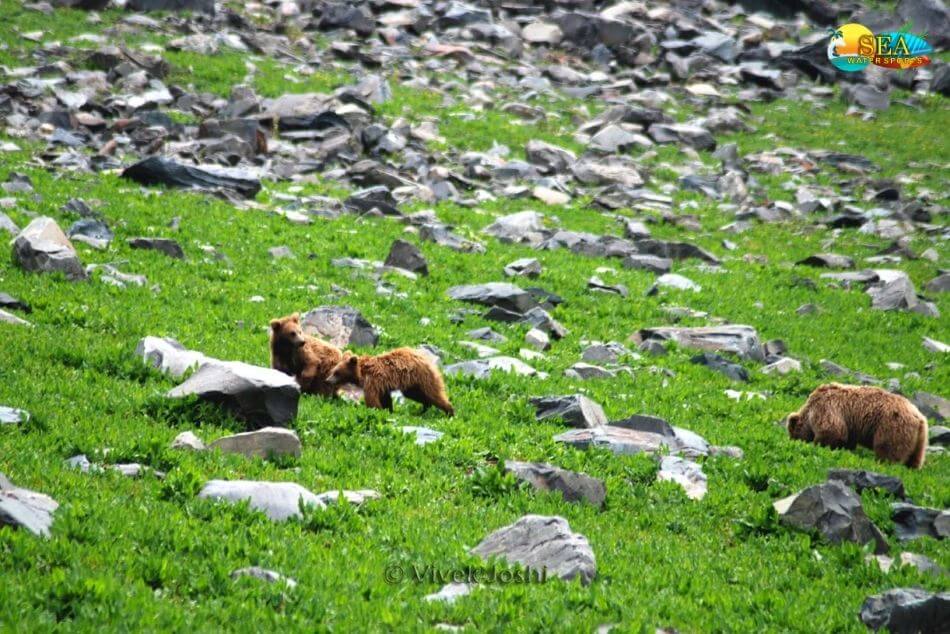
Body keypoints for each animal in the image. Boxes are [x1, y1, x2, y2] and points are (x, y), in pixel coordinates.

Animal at [326, 346, 456, 414]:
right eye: (333, 370)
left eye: (336, 372)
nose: (328, 380)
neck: (361, 373)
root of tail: (426, 360)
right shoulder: (382, 386)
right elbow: (385, 398)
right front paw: (389, 410)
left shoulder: (372, 381)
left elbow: (372, 398)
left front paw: (375, 409)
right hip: (411, 385)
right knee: (418, 395)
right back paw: (424, 409)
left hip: (422, 378)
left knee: (433, 394)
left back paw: (449, 411)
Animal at [788, 382, 928, 466]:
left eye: (793, 435)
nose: (793, 442)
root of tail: (918, 417)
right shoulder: (850, 426)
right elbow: (847, 439)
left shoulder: (826, 408)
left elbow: (831, 430)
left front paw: (820, 444)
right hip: (919, 439)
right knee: (915, 457)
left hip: (891, 426)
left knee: (888, 448)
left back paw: (883, 462)